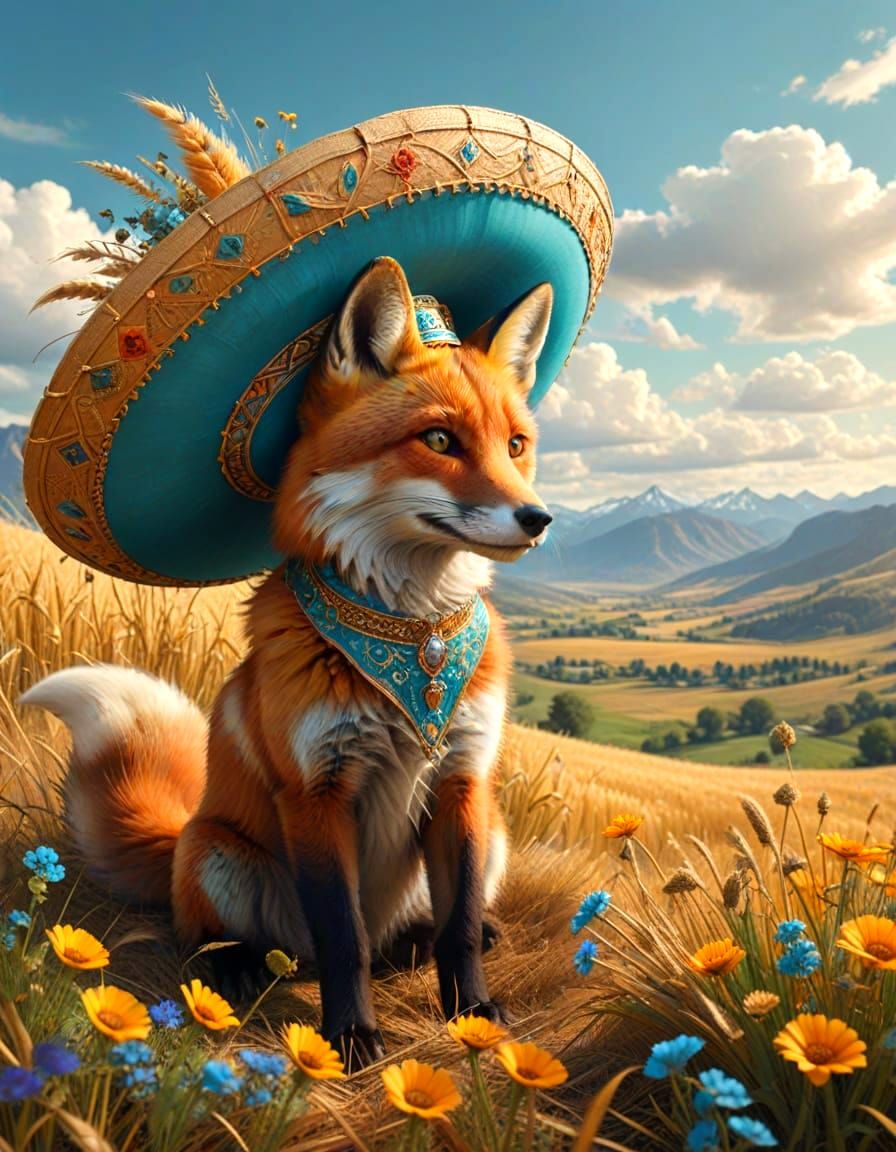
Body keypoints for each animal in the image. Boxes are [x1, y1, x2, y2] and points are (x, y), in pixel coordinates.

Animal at [20, 256, 554, 1070]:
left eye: (517, 445)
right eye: (439, 439)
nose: (537, 519)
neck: (411, 647)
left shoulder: (463, 779)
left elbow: (459, 929)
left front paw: (473, 1016)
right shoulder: (315, 791)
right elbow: (343, 937)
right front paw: (349, 1038)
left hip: (491, 832)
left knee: (412, 934)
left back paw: (418, 942)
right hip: (218, 852)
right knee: (228, 939)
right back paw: (237, 967)